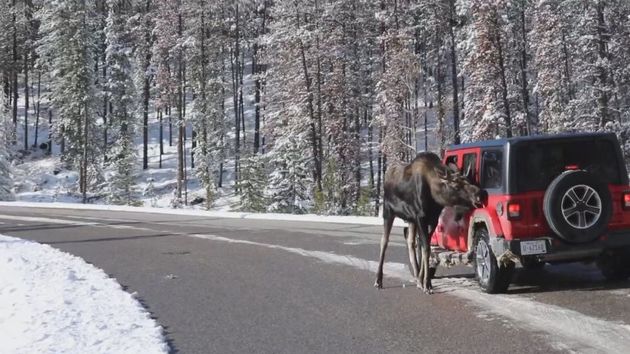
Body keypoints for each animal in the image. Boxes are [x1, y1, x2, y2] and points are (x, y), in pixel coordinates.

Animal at [376, 152, 484, 294]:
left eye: (469, 181)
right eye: (456, 186)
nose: (479, 193)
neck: (435, 198)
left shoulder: (432, 220)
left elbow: (424, 247)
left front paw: (422, 281)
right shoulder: (421, 217)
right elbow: (426, 249)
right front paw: (427, 284)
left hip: (411, 220)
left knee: (410, 242)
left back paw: (417, 277)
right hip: (388, 212)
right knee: (384, 241)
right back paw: (378, 280)